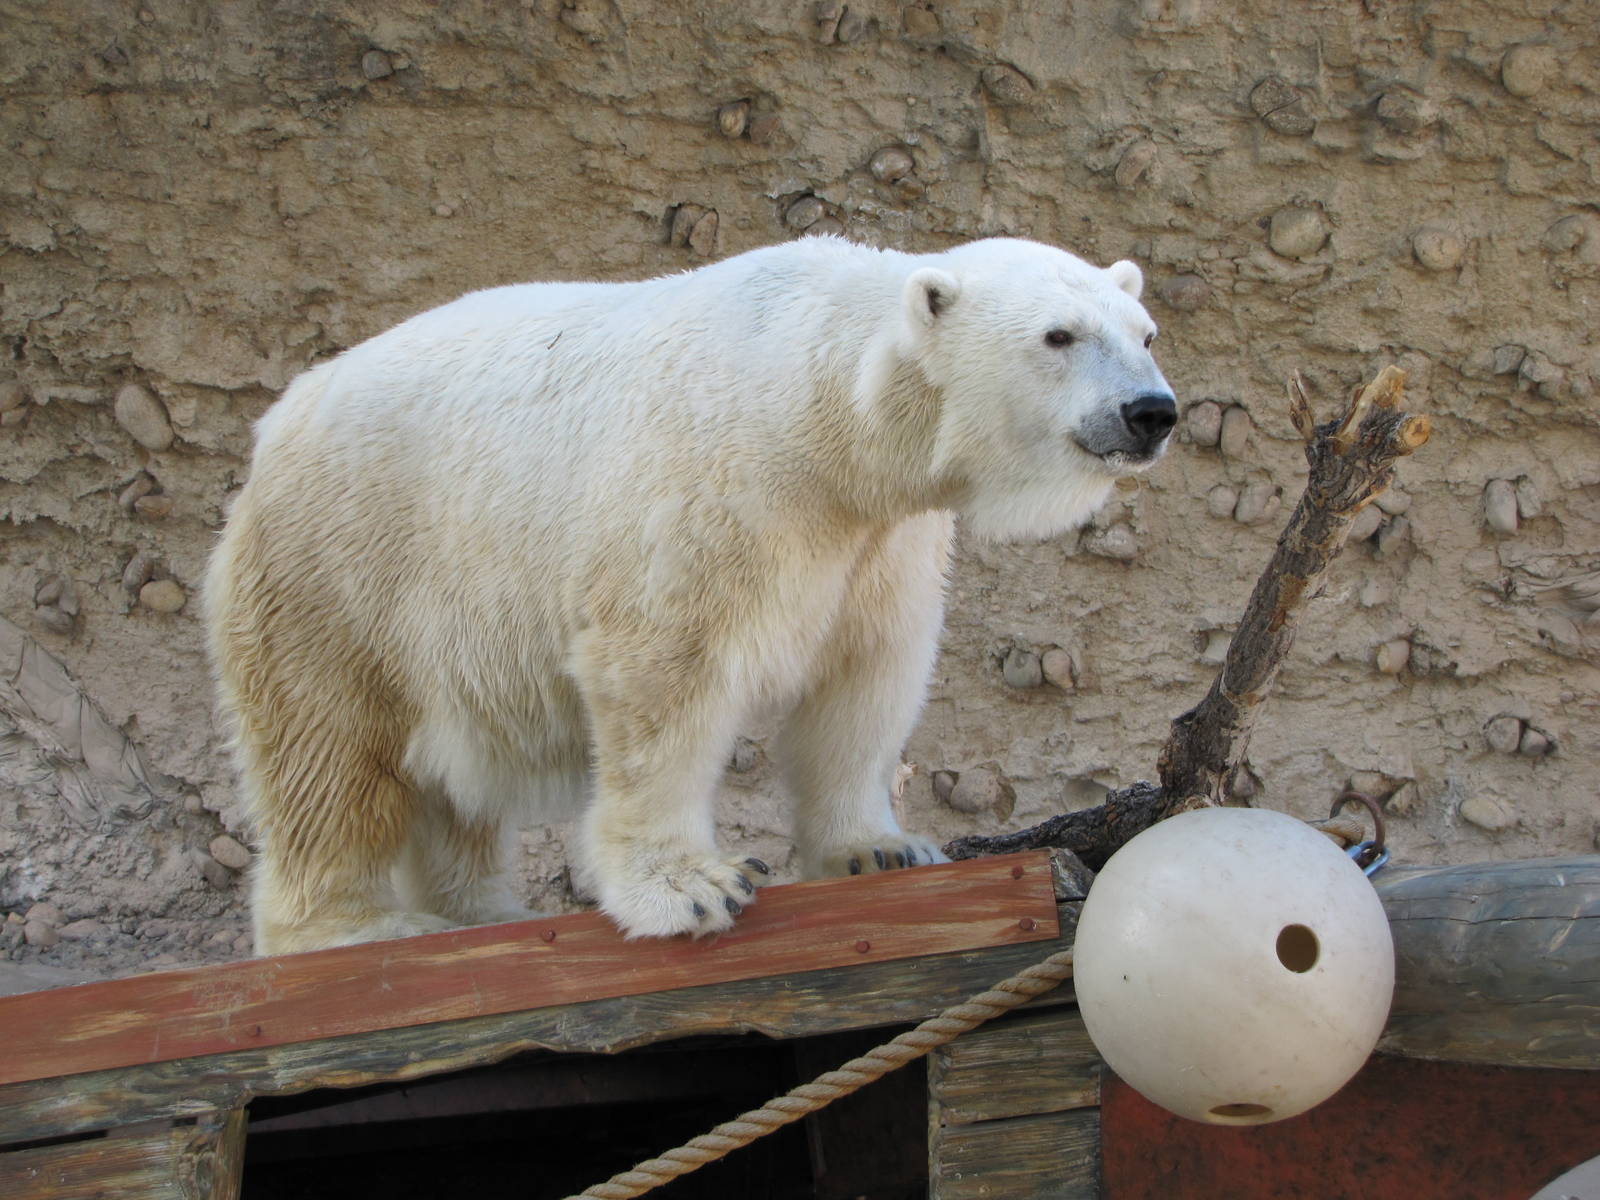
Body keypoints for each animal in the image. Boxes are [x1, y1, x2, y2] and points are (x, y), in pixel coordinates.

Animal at [204, 236, 1176, 954]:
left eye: (1145, 332)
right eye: (1058, 336)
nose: (1151, 411)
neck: (822, 414)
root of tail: (275, 424)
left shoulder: (879, 540)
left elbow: (867, 679)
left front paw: (881, 848)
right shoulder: (716, 492)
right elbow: (664, 678)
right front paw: (693, 888)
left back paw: (480, 912)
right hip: (341, 563)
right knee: (325, 747)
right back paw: (354, 925)